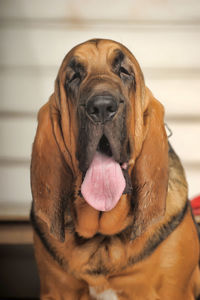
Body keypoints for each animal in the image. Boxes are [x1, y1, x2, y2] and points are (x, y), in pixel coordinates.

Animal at [30, 38, 200, 298]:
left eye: (124, 71)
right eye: (74, 76)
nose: (101, 107)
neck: (103, 239)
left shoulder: (172, 290)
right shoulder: (57, 290)